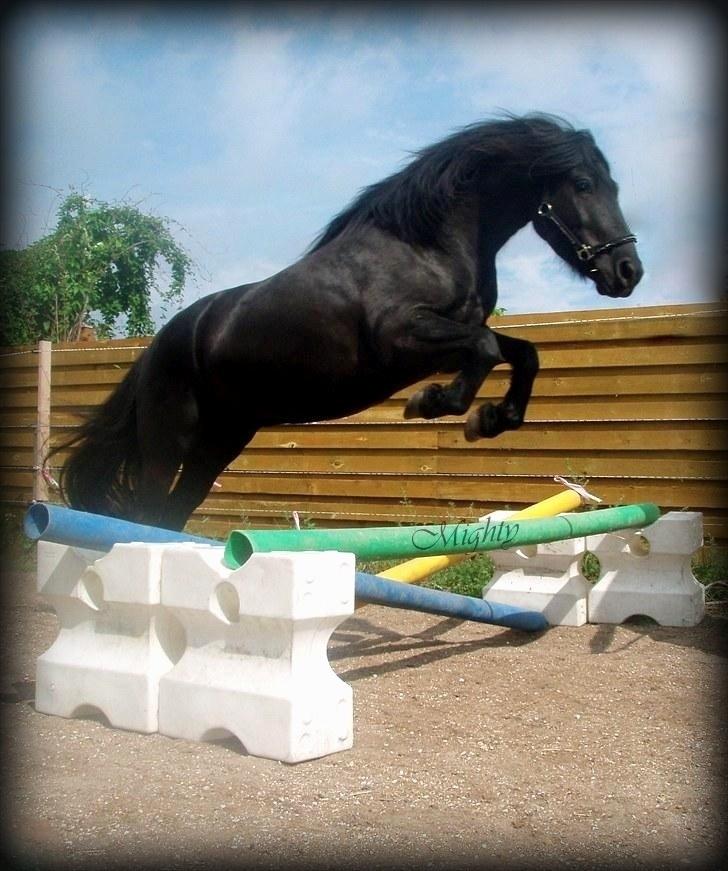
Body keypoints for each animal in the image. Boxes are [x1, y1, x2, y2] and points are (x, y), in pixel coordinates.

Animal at [55, 113, 642, 531]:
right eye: (584, 183)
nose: (628, 270)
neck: (426, 244)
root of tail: (156, 348)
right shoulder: (403, 341)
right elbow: (485, 350)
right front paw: (433, 405)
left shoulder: (445, 338)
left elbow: (520, 353)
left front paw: (491, 420)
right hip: (169, 443)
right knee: (149, 515)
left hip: (220, 442)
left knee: (171, 516)